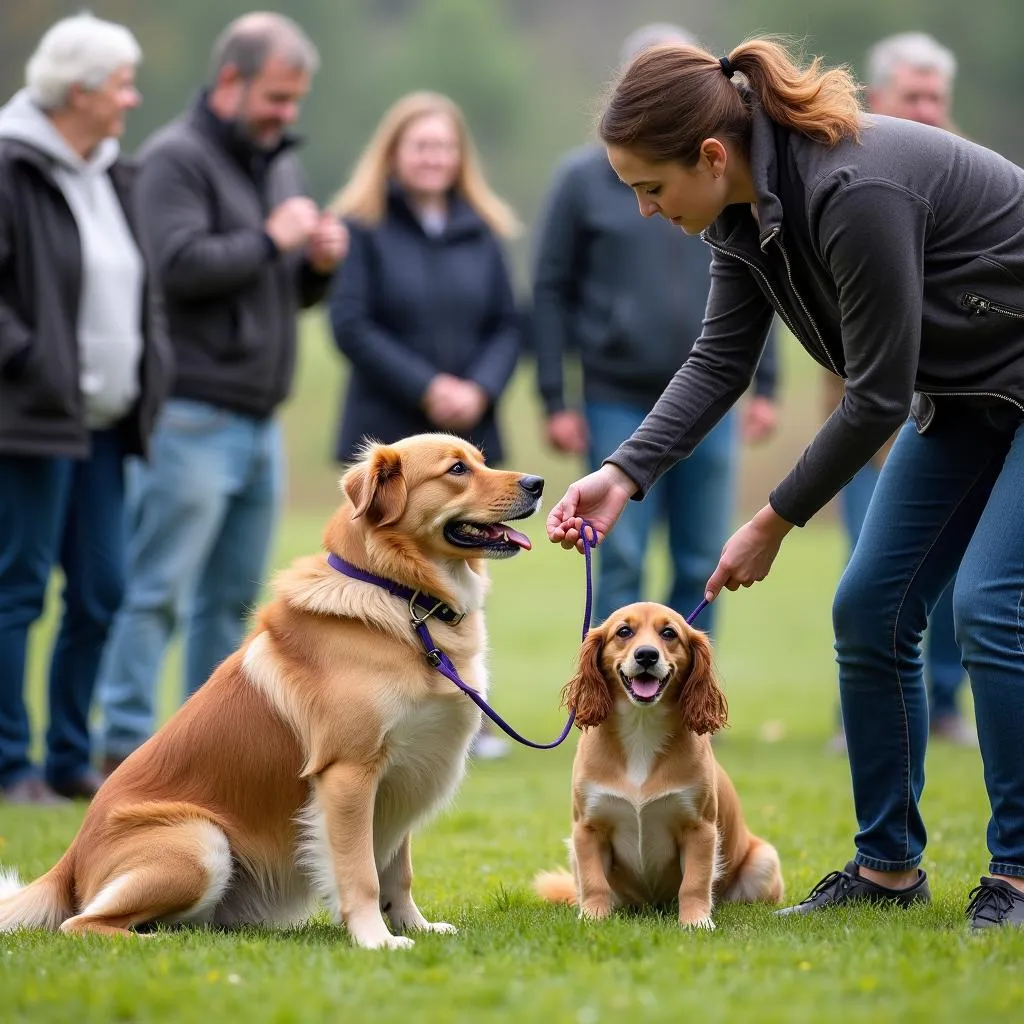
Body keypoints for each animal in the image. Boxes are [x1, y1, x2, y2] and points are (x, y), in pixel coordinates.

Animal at [0, 434, 544, 950]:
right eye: (456, 469)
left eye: (481, 459)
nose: (537, 483)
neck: (401, 598)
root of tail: (68, 861)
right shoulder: (348, 774)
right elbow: (362, 874)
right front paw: (376, 941)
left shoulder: (402, 778)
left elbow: (398, 871)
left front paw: (415, 926)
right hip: (201, 842)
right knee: (81, 924)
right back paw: (154, 941)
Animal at [536, 598, 782, 929]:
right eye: (624, 632)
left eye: (669, 633)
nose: (646, 655)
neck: (642, 729)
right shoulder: (588, 828)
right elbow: (593, 882)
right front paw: (593, 918)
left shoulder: (699, 828)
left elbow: (694, 883)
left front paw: (696, 922)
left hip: (764, 860)